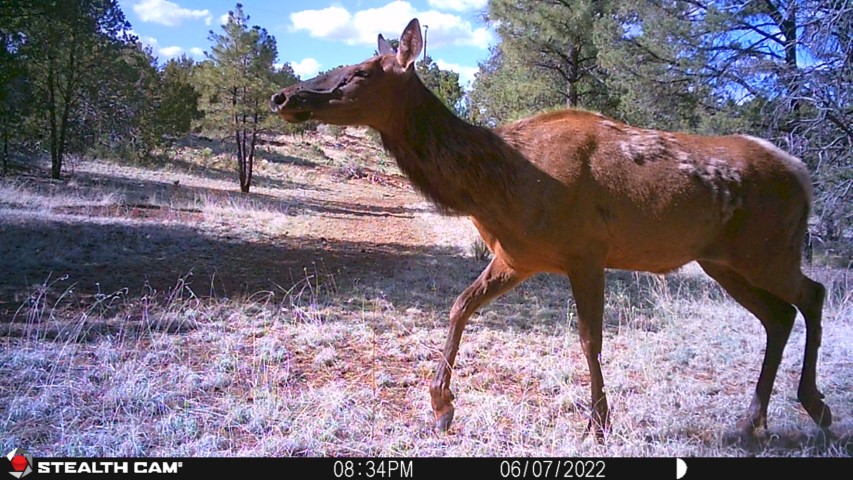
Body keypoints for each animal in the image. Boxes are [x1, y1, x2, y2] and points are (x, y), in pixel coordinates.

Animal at [270, 18, 832, 442]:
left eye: (359, 72)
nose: (283, 96)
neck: (497, 185)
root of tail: (803, 174)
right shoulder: (518, 256)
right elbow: (459, 306)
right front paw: (441, 406)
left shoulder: (586, 252)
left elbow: (589, 338)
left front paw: (598, 425)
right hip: (724, 261)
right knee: (779, 315)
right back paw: (752, 423)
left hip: (768, 250)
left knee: (814, 293)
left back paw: (813, 405)